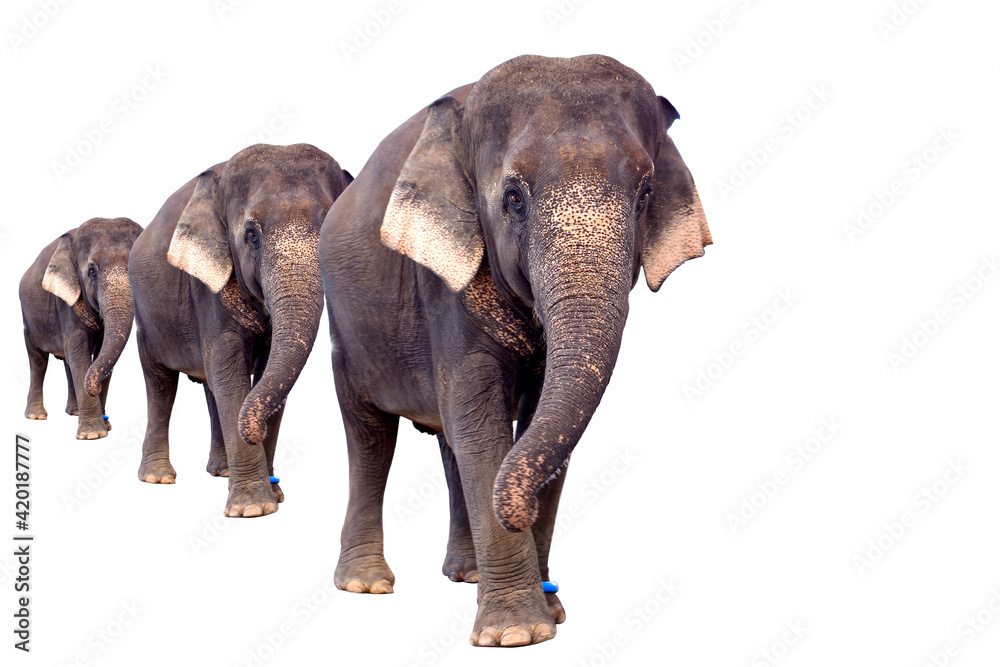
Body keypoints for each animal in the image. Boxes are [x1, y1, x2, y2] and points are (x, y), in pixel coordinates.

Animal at [19, 217, 143, 439]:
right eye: (91, 271)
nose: (106, 418)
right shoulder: (65, 301)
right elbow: (79, 349)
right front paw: (93, 434)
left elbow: (98, 353)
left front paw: (105, 427)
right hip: (28, 317)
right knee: (38, 360)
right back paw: (36, 416)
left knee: (68, 361)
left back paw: (74, 412)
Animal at [128, 143, 352, 517]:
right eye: (251, 235)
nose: (253, 431)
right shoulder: (207, 283)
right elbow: (229, 368)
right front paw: (253, 509)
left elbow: (261, 374)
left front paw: (273, 496)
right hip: (146, 318)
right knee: (160, 384)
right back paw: (158, 478)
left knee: (210, 385)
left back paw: (221, 472)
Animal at [319, 55, 711, 646]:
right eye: (513, 199)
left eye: (645, 194)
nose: (515, 512)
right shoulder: (445, 281)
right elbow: (480, 420)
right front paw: (517, 633)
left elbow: (530, 422)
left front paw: (550, 615)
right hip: (347, 331)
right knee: (370, 434)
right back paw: (367, 584)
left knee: (447, 438)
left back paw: (466, 575)